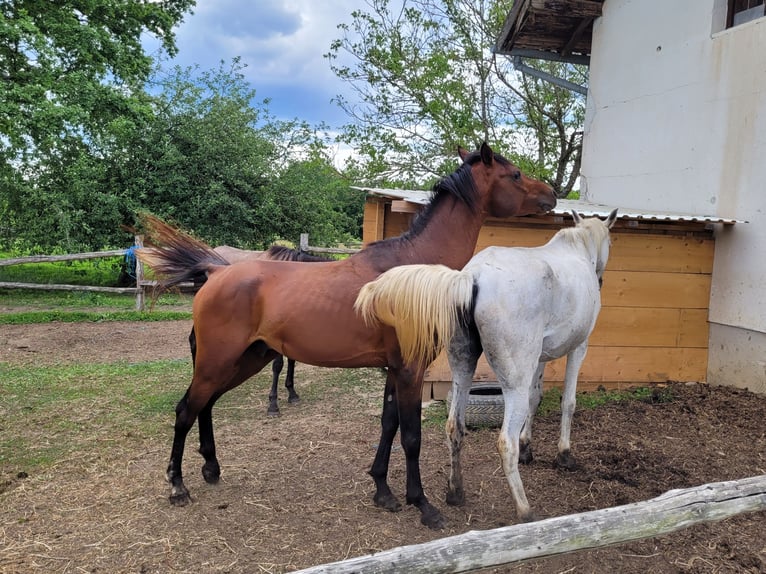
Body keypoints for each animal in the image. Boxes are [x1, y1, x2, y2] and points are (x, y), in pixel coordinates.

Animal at [136, 144, 560, 532]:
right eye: (516, 174)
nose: (552, 194)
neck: (411, 272)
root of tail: (217, 271)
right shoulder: (410, 371)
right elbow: (411, 436)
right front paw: (423, 505)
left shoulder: (394, 370)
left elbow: (388, 425)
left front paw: (383, 491)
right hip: (219, 361)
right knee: (186, 410)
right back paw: (177, 486)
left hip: (244, 360)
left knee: (204, 406)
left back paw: (211, 468)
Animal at [356, 212, 620, 528]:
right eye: (611, 241)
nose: (602, 279)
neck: (577, 250)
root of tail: (472, 277)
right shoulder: (578, 347)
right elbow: (568, 402)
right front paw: (564, 455)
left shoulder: (540, 357)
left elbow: (536, 398)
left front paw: (528, 447)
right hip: (513, 382)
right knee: (505, 442)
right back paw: (524, 510)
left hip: (463, 369)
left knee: (454, 426)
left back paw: (455, 492)